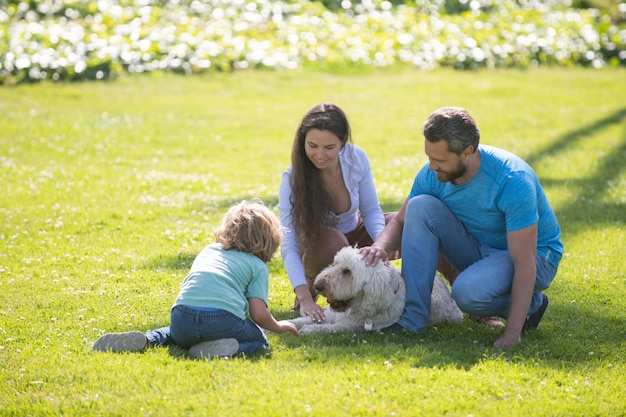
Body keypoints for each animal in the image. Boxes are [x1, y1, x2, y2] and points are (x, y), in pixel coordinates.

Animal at [290, 245, 460, 334]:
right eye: (334, 263)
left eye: (347, 271)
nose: (318, 285)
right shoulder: (329, 315)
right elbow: (299, 320)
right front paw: (287, 323)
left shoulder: (348, 326)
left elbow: (327, 328)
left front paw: (309, 329)